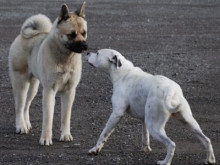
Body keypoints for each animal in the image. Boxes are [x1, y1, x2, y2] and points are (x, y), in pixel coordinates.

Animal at [8, 2, 87, 146]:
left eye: (84, 33)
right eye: (72, 34)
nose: (85, 46)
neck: (65, 58)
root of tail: (21, 36)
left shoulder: (69, 91)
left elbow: (66, 117)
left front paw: (65, 135)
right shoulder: (49, 91)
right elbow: (48, 118)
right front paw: (45, 138)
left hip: (33, 87)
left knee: (26, 106)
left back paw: (26, 124)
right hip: (21, 85)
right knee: (19, 107)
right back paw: (21, 126)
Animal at [87, 49, 216, 165]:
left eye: (97, 53)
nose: (87, 52)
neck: (123, 72)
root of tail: (170, 90)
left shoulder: (116, 114)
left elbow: (104, 134)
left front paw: (95, 149)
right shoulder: (144, 120)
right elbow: (145, 136)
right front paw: (145, 149)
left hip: (155, 127)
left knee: (171, 144)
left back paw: (165, 162)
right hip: (189, 122)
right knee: (206, 139)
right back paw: (210, 160)